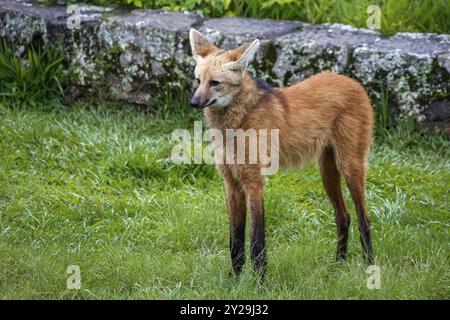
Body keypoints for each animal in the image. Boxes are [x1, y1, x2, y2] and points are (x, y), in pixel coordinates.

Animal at [188, 28, 374, 278]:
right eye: (198, 81)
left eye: (215, 82)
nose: (193, 102)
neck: (235, 123)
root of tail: (353, 81)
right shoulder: (232, 183)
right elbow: (235, 242)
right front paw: (234, 280)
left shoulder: (253, 181)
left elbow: (256, 243)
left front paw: (259, 281)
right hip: (326, 171)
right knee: (343, 217)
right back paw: (337, 265)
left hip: (349, 166)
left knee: (364, 220)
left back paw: (370, 266)